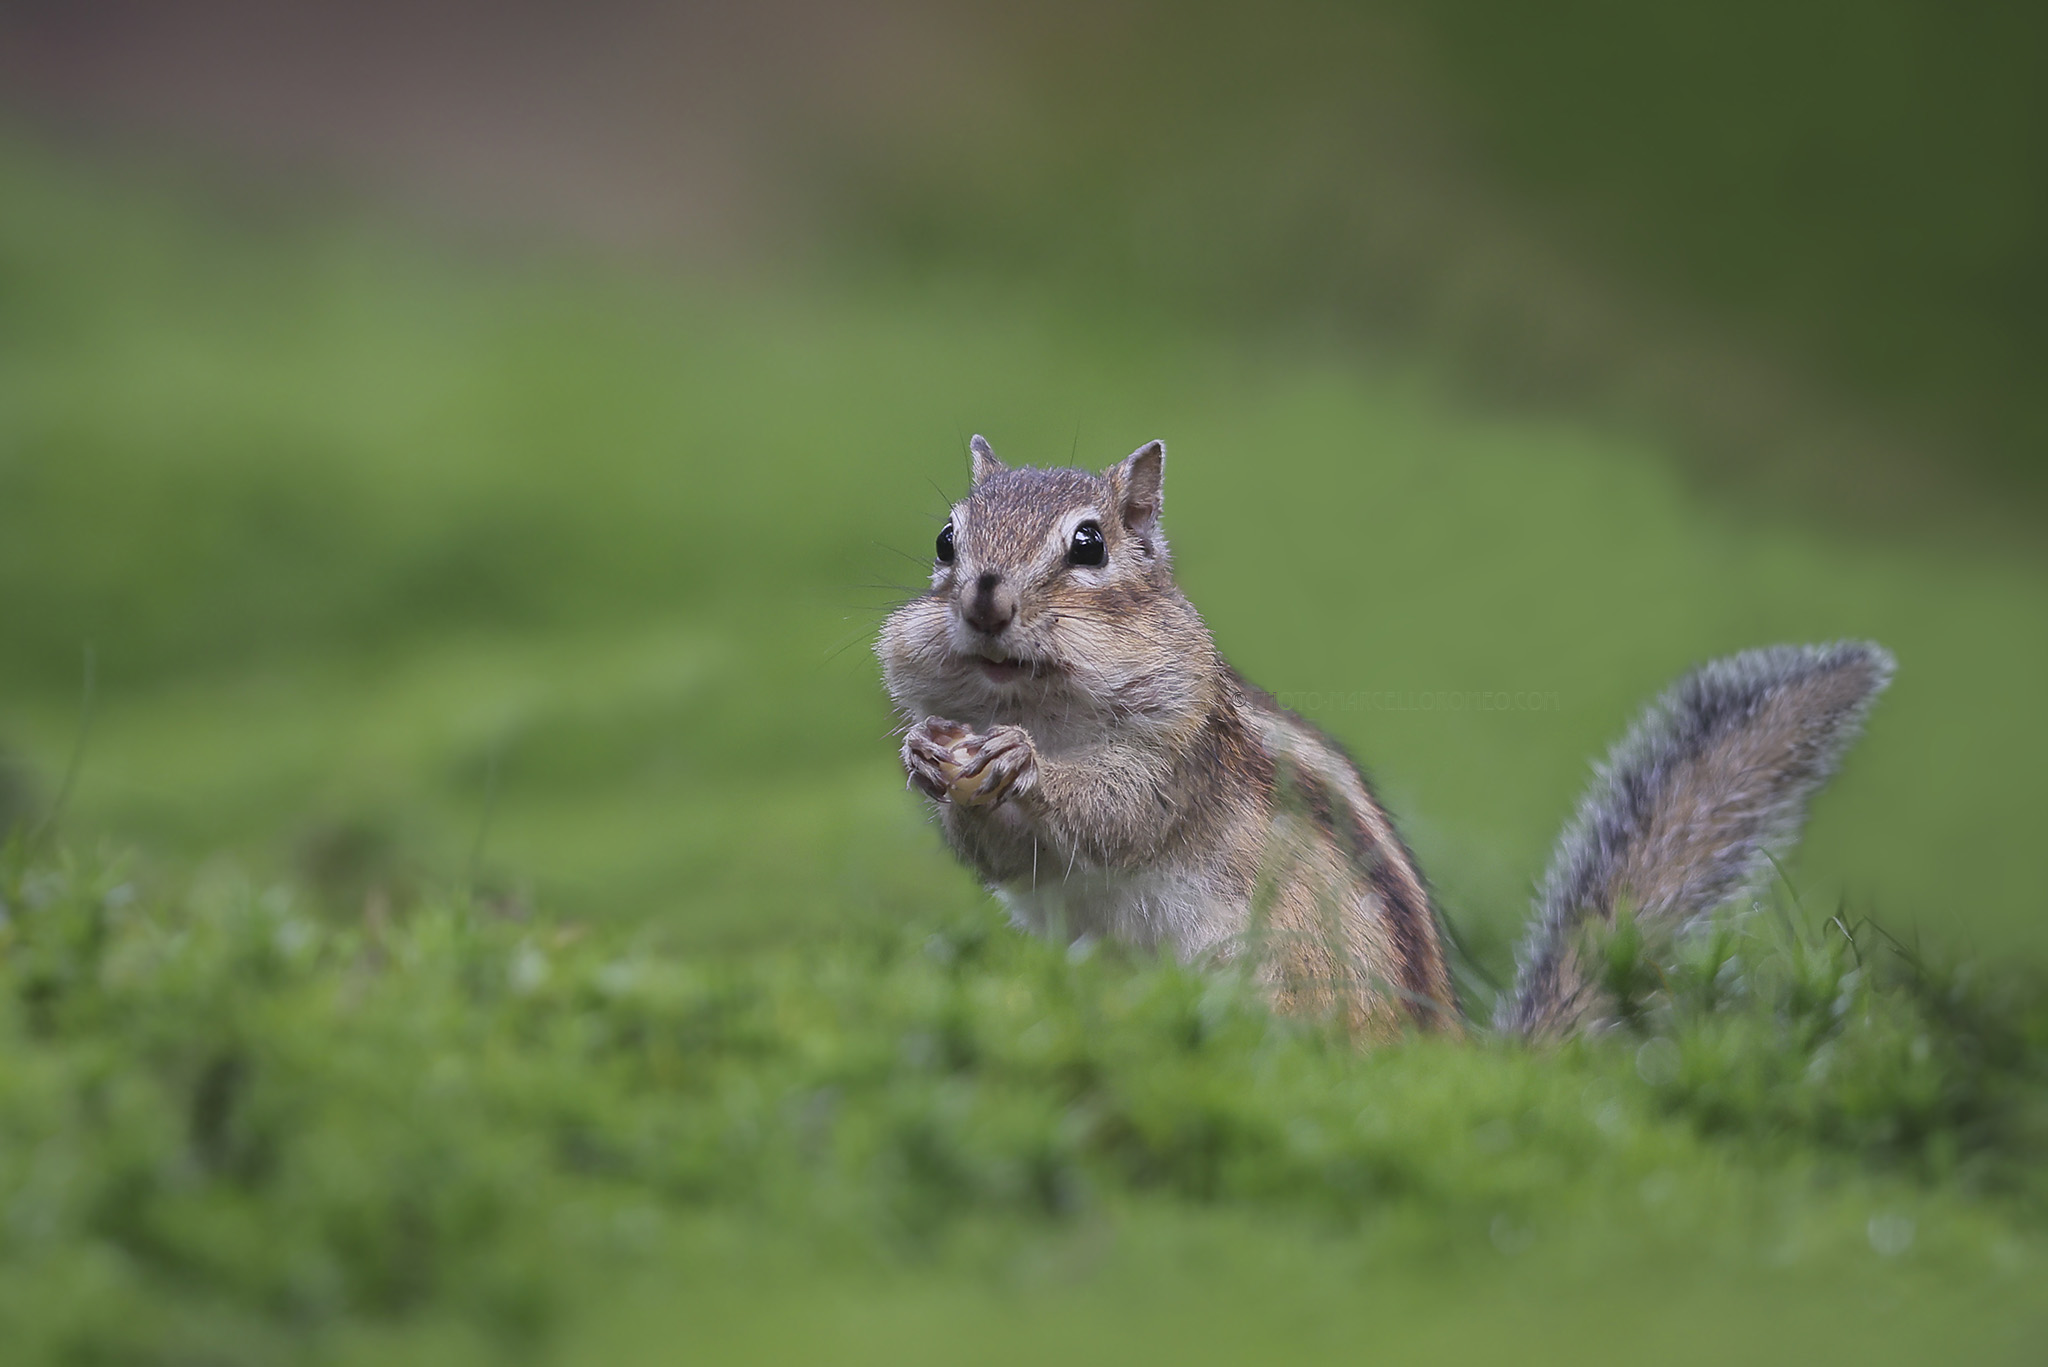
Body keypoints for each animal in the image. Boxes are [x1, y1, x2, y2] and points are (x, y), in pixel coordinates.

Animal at [878, 436, 1895, 1039]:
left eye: (1088, 545)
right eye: (945, 540)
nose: (984, 597)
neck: (1041, 704)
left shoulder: (1179, 758)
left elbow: (1115, 814)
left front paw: (1022, 763)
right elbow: (1004, 858)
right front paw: (927, 755)